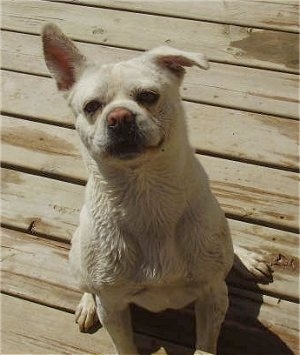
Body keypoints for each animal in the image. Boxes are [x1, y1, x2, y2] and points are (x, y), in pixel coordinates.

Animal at [42, 25, 272, 355]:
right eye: (91, 107)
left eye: (148, 96)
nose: (119, 117)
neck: (146, 190)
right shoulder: (113, 307)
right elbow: (124, 345)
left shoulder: (213, 295)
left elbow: (205, 344)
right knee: (86, 284)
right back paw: (87, 303)